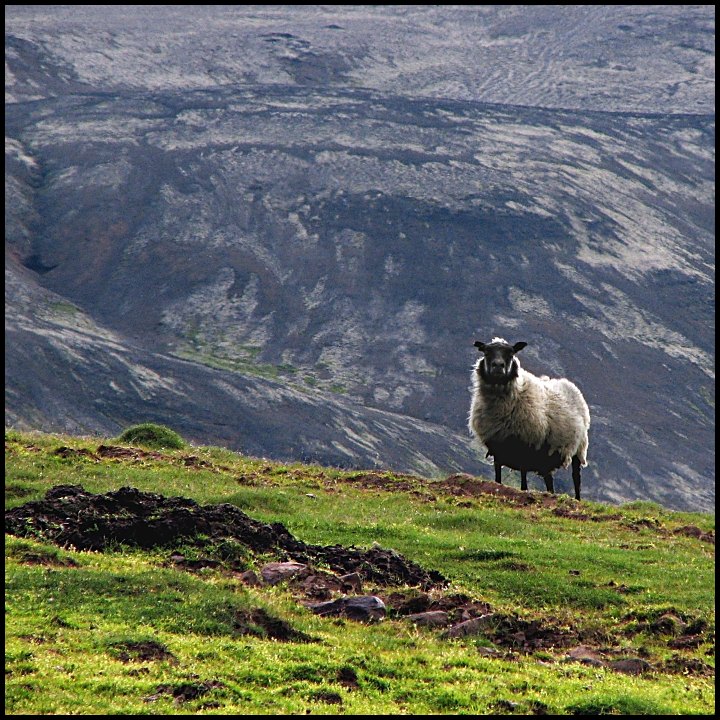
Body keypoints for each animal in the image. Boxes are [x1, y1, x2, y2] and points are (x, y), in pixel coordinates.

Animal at [468, 337, 590, 500]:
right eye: (486, 352)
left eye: (511, 353)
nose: (498, 366)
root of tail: (567, 383)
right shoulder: (496, 445)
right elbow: (498, 474)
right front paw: (497, 485)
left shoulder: (525, 444)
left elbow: (524, 477)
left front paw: (524, 491)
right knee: (549, 479)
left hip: (578, 448)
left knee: (576, 478)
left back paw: (577, 498)